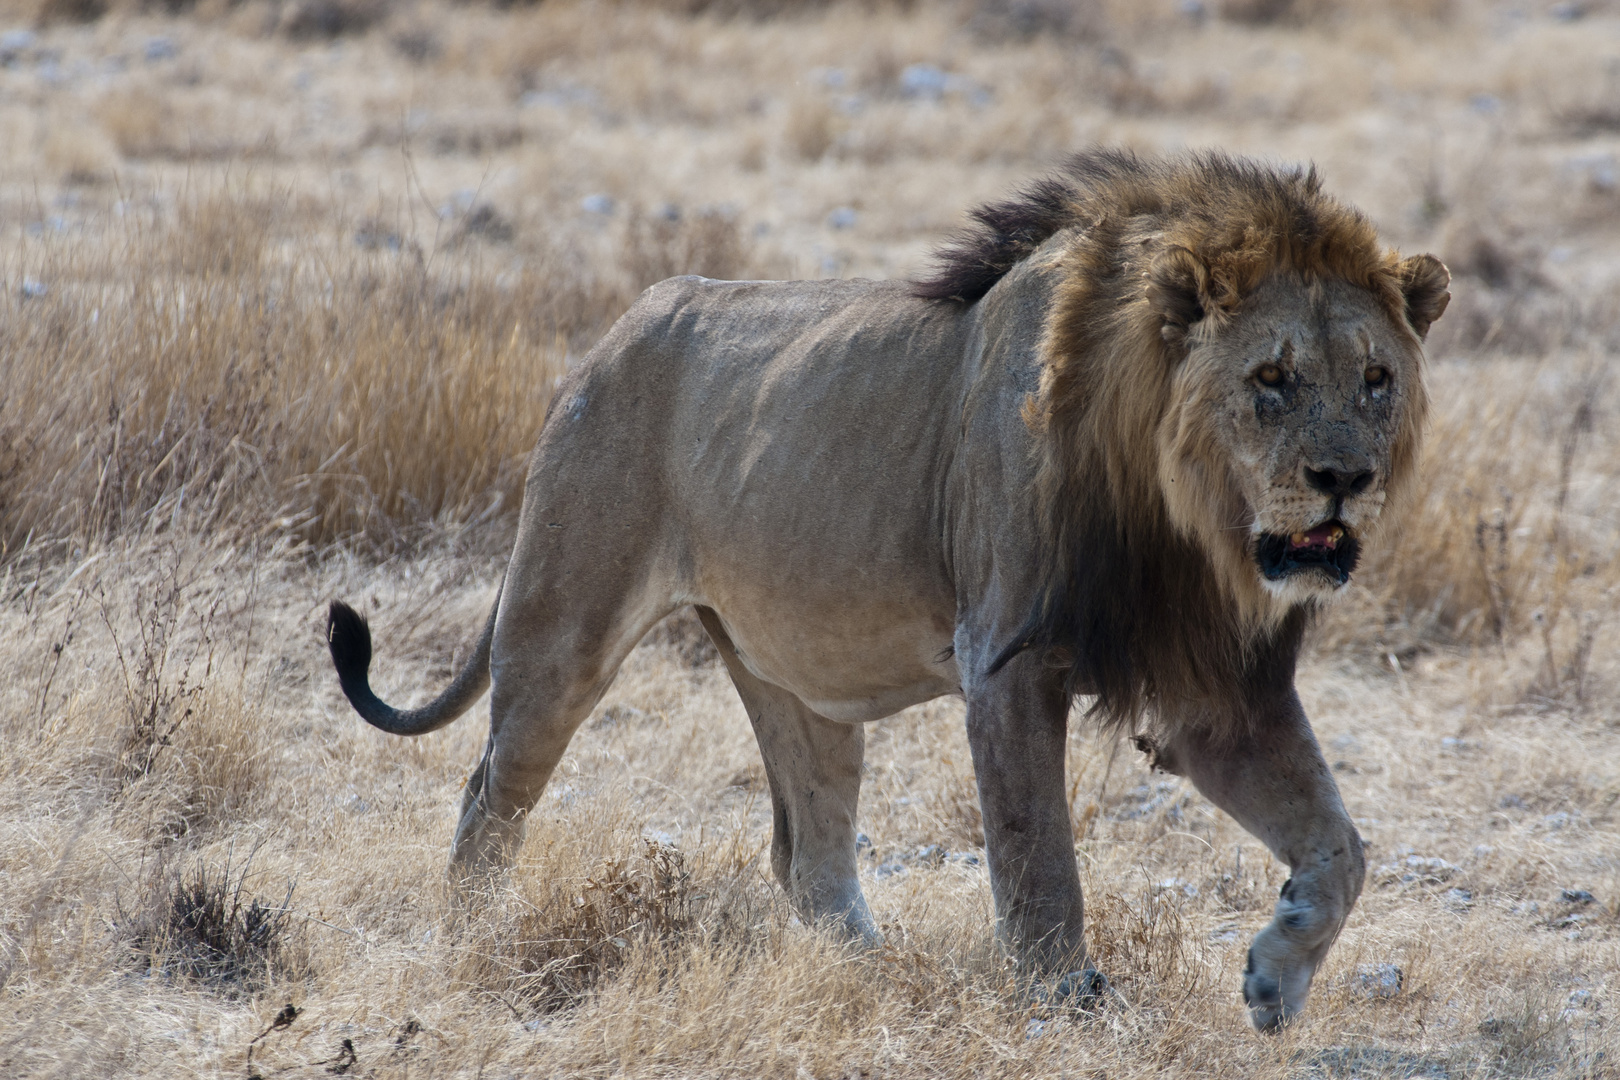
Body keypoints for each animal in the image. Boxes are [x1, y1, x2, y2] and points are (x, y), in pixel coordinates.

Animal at [322, 149, 1451, 1029]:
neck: (1184, 524)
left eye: (1376, 379)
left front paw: (1276, 974)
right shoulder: (1006, 664)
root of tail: (608, 335)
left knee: (809, 857)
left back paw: (880, 971)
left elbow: (1340, 847)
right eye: (1271, 379)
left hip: (795, 682)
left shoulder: (1221, 693)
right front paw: (1061, 1005)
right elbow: (1038, 861)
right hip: (561, 623)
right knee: (489, 793)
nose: (1346, 479)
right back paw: (472, 942)